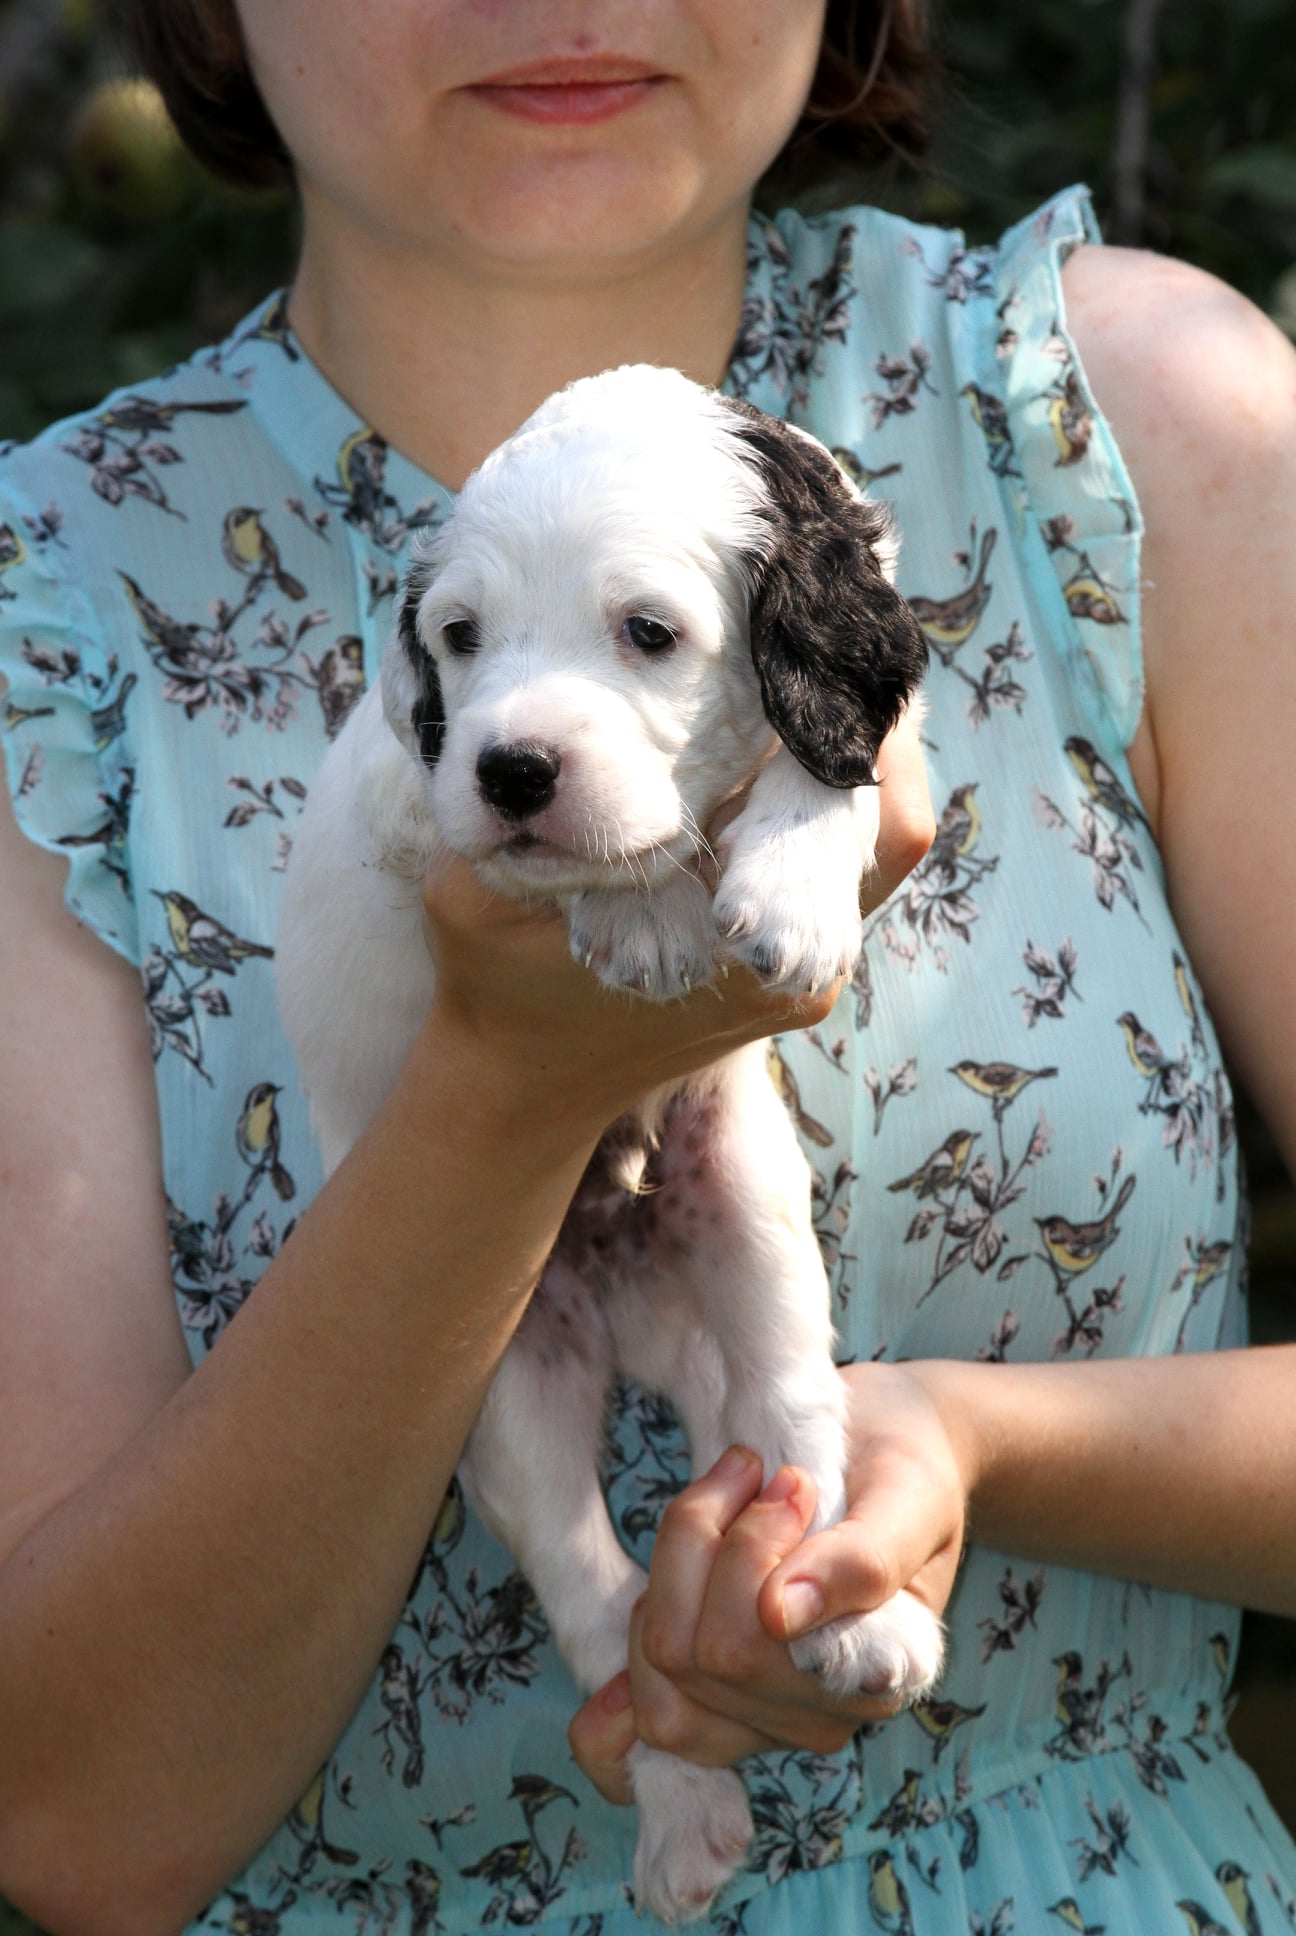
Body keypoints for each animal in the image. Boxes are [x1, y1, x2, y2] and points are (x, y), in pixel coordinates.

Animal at [275, 364, 938, 1923]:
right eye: (460, 638)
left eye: (648, 634)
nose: (516, 769)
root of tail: (641, 1321)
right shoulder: (417, 784)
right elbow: (506, 840)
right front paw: (640, 910)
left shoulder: (872, 663)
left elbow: (834, 757)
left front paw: (788, 877)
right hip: (497, 1390)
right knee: (598, 1597)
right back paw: (686, 1807)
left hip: (754, 1233)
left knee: (791, 1427)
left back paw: (849, 1613)